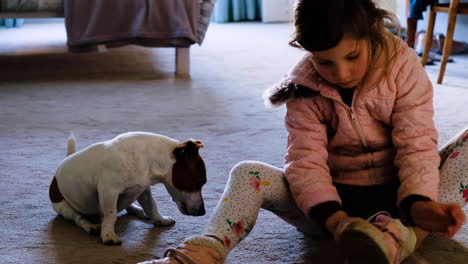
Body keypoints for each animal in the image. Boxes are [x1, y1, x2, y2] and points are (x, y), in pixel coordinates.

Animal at [49, 132, 207, 245]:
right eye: (199, 182)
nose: (203, 212)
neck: (147, 159)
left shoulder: (143, 189)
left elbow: (151, 206)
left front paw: (159, 219)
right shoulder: (109, 191)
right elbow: (111, 214)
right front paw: (108, 235)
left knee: (129, 207)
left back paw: (140, 212)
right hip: (64, 207)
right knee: (78, 217)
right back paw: (90, 225)